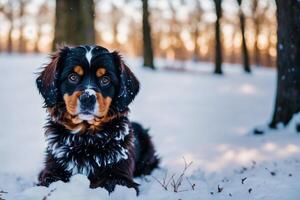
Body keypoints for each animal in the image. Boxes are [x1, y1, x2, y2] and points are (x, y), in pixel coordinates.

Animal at [36, 45, 159, 194]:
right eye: (72, 77)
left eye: (105, 79)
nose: (87, 98)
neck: (86, 138)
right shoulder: (53, 168)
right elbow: (50, 180)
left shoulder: (121, 174)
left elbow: (113, 183)